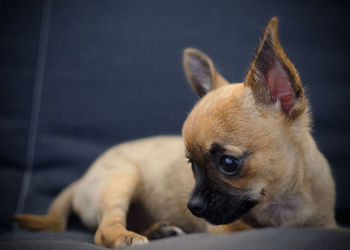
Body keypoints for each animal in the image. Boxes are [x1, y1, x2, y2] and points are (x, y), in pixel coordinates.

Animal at [15, 17, 338, 248]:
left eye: (228, 164)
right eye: (191, 165)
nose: (192, 206)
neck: (284, 202)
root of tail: (81, 180)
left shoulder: (326, 224)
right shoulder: (226, 226)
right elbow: (244, 229)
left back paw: (159, 231)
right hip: (120, 179)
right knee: (104, 227)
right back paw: (126, 237)